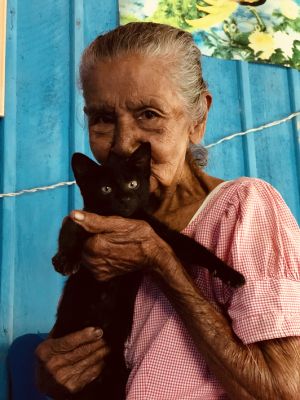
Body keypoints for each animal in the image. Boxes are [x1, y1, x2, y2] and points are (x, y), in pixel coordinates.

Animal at [50, 142, 245, 398]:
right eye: (106, 189)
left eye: (133, 184)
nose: (124, 198)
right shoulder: (85, 217)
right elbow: (72, 228)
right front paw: (65, 258)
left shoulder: (158, 232)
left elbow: (194, 248)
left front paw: (230, 274)